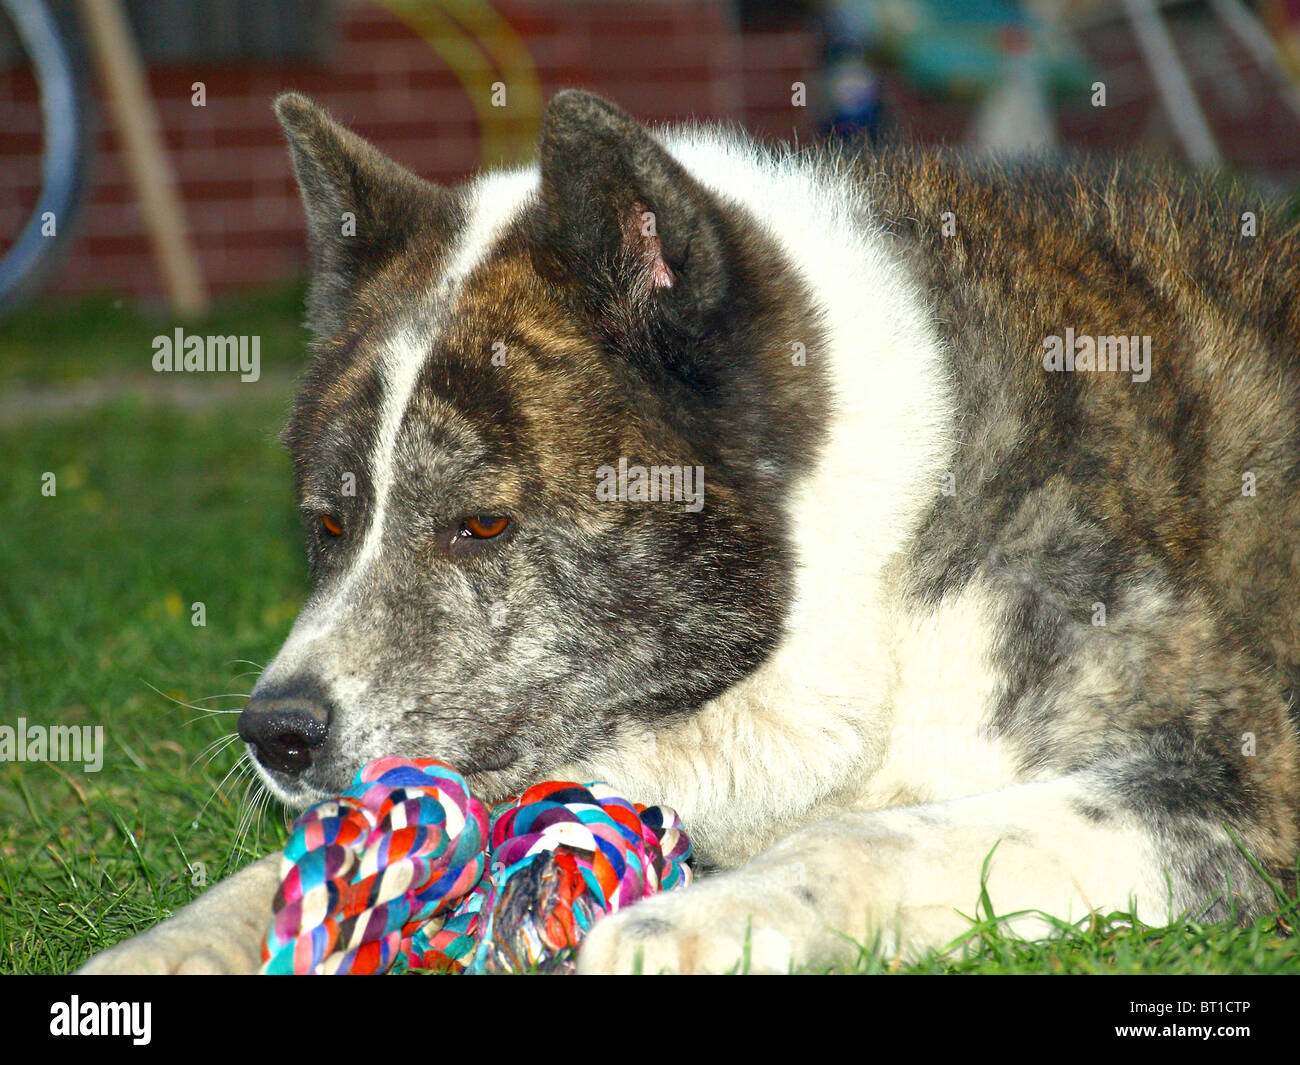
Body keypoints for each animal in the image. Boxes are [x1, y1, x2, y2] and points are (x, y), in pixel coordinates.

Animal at [83, 89, 1300, 972]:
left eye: (482, 523)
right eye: (331, 524)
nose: (275, 734)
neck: (866, 554)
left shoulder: (1239, 795)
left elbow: (875, 835)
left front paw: (700, 918)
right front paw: (173, 945)